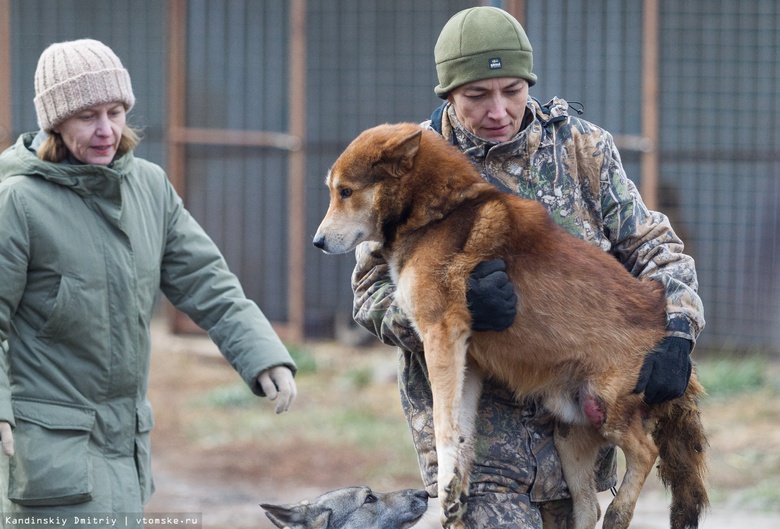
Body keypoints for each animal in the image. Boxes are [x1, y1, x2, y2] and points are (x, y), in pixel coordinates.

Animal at [310, 122, 708, 528]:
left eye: (345, 191)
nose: (317, 242)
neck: (438, 214)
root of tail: (661, 322)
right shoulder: (466, 360)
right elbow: (462, 430)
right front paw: (456, 488)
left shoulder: (441, 336)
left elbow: (443, 423)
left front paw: (449, 478)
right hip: (571, 436)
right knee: (587, 505)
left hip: (606, 406)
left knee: (646, 451)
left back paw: (620, 511)